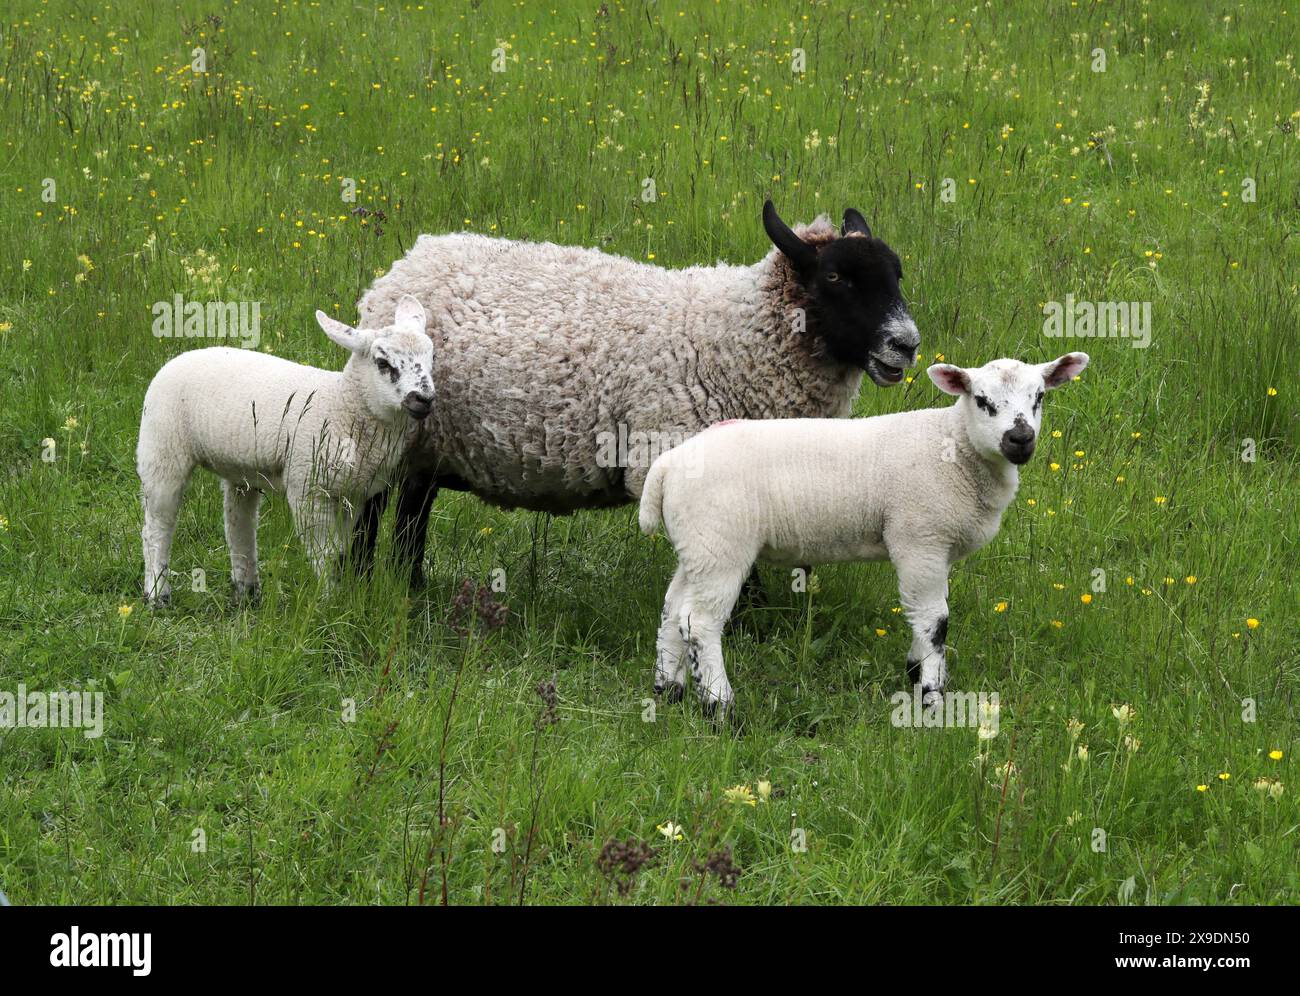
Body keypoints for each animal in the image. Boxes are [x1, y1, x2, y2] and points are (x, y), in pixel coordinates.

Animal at [136, 293, 434, 608]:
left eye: (432, 358)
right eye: (383, 363)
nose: (424, 399)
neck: (341, 404)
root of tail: (181, 357)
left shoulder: (353, 496)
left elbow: (340, 551)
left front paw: (338, 596)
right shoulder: (308, 488)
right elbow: (324, 553)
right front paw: (328, 601)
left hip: (240, 468)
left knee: (238, 524)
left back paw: (247, 591)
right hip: (162, 448)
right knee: (157, 526)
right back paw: (157, 593)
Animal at [348, 198, 915, 585]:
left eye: (898, 274)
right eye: (836, 277)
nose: (906, 344)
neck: (736, 338)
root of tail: (409, 262)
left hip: (430, 442)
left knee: (413, 511)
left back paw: (411, 588)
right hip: (389, 428)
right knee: (373, 511)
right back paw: (363, 583)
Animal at [637, 351, 1086, 717]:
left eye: (1039, 396)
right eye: (982, 400)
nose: (1020, 439)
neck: (952, 446)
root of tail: (667, 466)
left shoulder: (935, 549)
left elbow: (925, 616)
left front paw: (916, 669)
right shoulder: (919, 538)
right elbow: (934, 620)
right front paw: (932, 697)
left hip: (697, 547)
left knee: (673, 610)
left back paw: (669, 690)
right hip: (721, 544)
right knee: (699, 622)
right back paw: (720, 708)